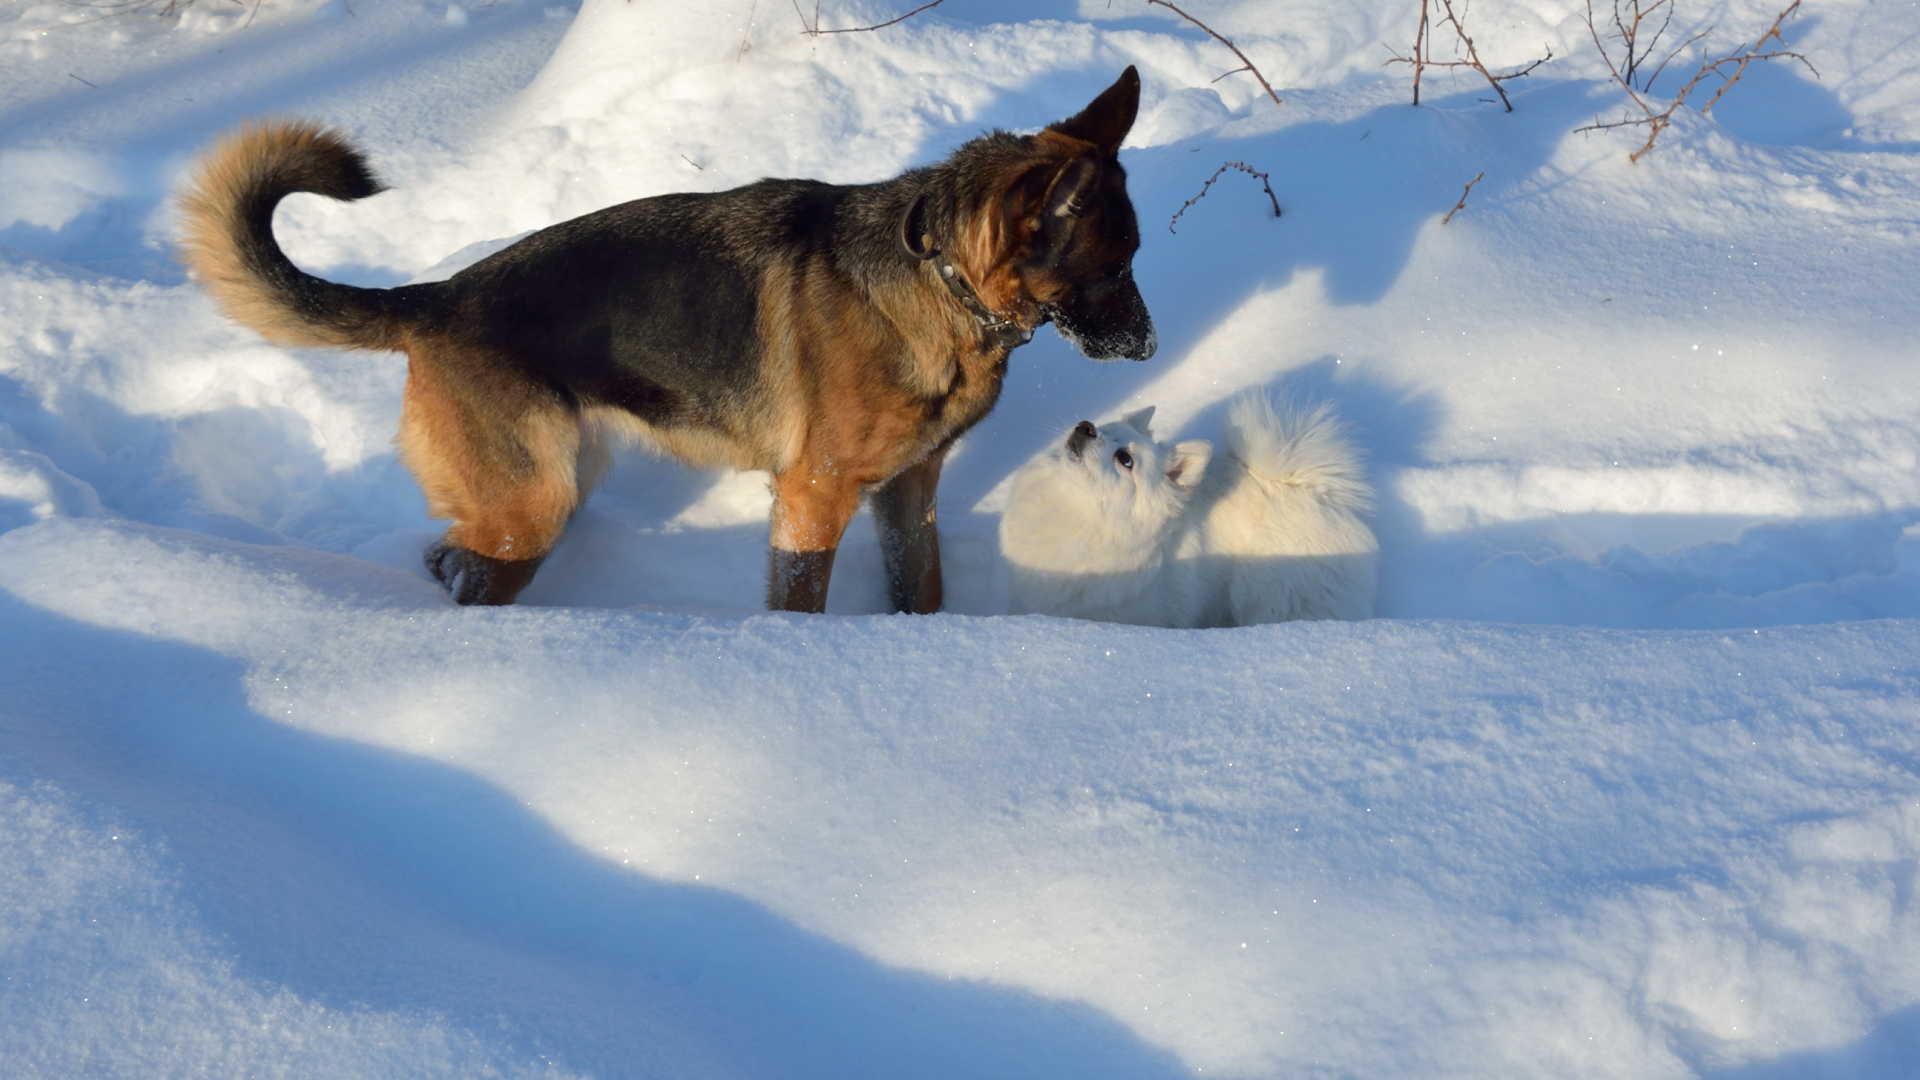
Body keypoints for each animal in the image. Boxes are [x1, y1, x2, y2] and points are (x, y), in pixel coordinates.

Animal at [180, 67, 1152, 611]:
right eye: (1113, 268)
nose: (1147, 348)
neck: (939, 279)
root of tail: (437, 299)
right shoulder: (813, 498)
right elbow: (798, 601)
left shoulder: (908, 496)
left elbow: (923, 593)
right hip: (532, 503)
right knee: (472, 573)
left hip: (547, 487)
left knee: (449, 554)